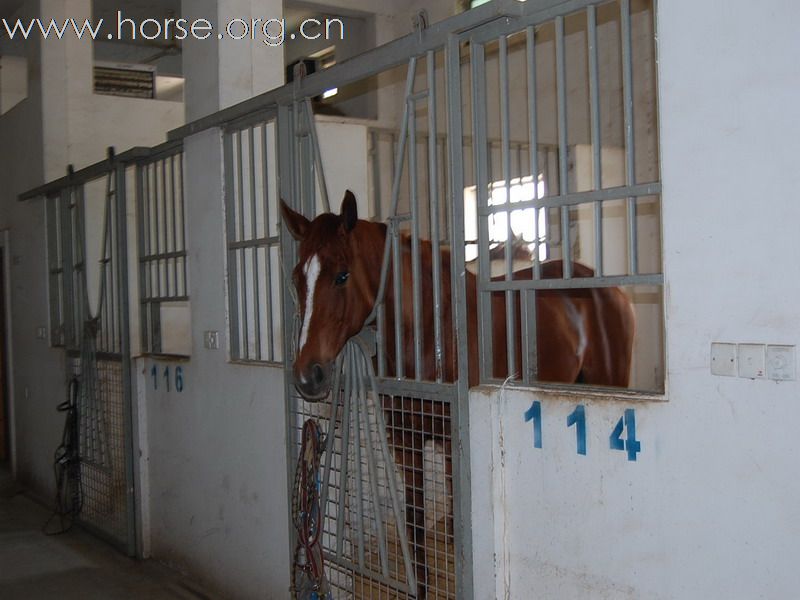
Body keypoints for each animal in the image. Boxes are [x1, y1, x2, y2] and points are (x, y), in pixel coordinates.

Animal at [284, 191, 636, 596]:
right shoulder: (406, 443)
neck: (430, 331)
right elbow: (416, 525)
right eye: (296, 278)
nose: (307, 375)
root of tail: (611, 289)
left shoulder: (455, 440)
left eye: (342, 275)